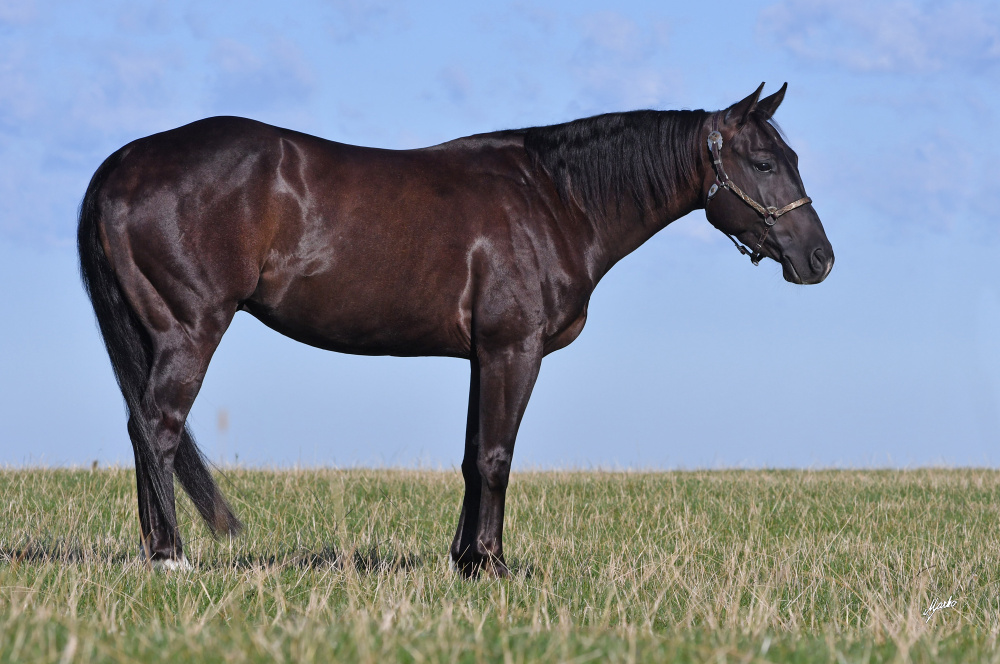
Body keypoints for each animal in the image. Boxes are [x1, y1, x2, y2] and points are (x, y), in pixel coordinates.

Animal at [78, 83, 832, 580]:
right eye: (764, 163)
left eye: (793, 160)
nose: (820, 259)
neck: (555, 199)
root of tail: (123, 163)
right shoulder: (513, 350)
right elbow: (497, 457)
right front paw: (493, 566)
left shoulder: (481, 356)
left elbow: (473, 457)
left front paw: (466, 561)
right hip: (190, 330)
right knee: (158, 428)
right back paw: (169, 559)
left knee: (142, 428)